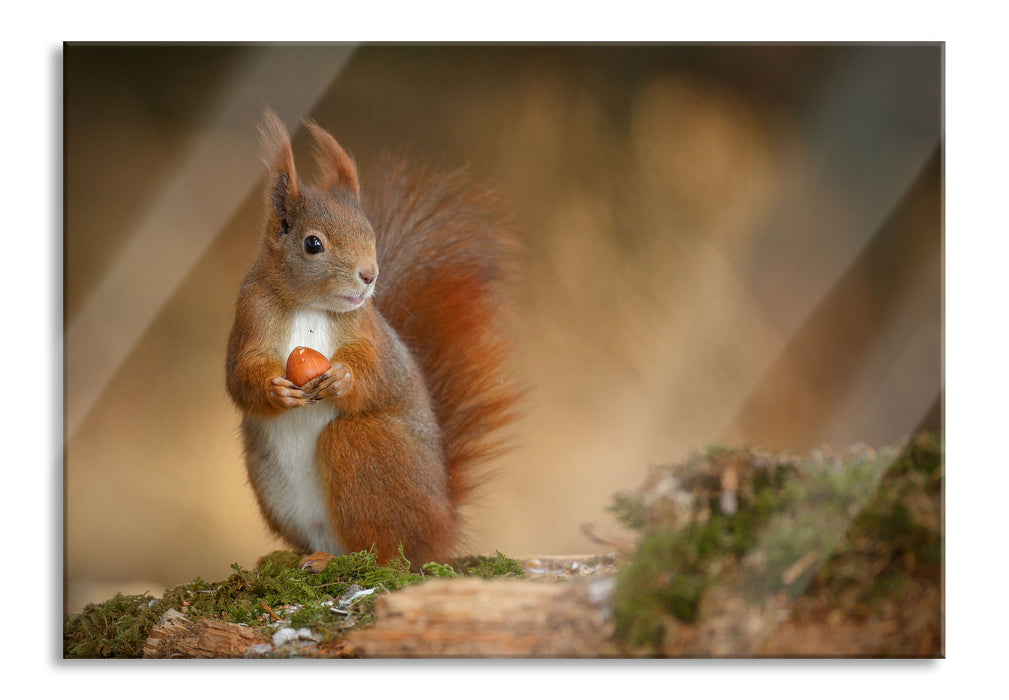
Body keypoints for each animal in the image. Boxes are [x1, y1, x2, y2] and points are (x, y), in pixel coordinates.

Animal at [226, 108, 524, 568]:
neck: (309, 307)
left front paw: (343, 378)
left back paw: (343, 560)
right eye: (313, 244)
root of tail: (442, 527)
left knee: (385, 549)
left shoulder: (369, 332)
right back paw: (308, 557)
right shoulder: (250, 318)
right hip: (270, 481)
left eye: (371, 233)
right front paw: (276, 391)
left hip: (365, 447)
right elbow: (240, 377)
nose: (369, 275)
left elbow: (377, 372)